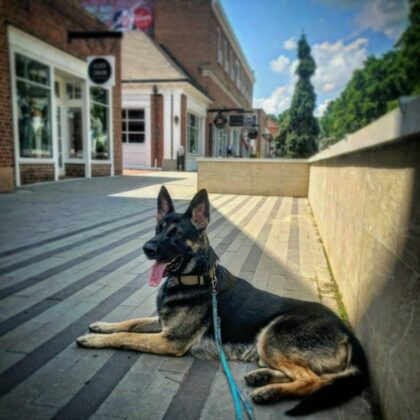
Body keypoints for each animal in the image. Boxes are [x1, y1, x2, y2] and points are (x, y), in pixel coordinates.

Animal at [76, 188, 368, 416]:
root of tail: (349, 334)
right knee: (319, 376)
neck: (195, 277)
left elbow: (126, 336)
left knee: (313, 380)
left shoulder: (170, 340)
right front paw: (102, 326)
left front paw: (94, 339)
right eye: (157, 229)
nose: (147, 248)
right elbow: (130, 322)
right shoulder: (162, 323)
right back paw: (263, 378)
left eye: (175, 233)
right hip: (270, 350)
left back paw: (271, 391)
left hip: (271, 336)